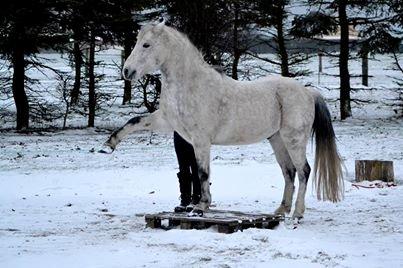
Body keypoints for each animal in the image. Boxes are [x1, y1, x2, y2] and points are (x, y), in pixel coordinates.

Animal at [104, 22, 344, 220]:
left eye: (146, 44)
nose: (127, 71)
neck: (189, 85)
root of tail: (308, 92)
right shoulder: (168, 123)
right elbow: (135, 121)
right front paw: (109, 145)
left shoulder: (201, 140)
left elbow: (202, 173)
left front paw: (200, 207)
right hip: (277, 140)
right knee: (289, 172)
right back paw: (281, 210)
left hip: (293, 139)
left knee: (303, 171)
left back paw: (297, 214)